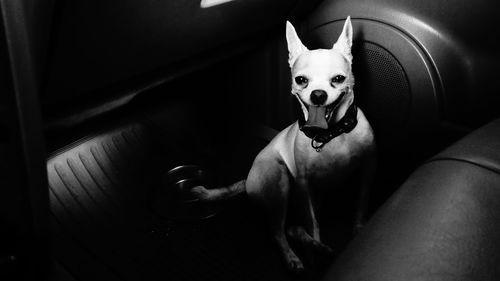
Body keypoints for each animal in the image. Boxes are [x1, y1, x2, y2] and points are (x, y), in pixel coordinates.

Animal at [191, 17, 376, 272]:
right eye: (301, 80)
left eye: (338, 79)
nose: (318, 94)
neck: (331, 135)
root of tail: (247, 180)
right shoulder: (304, 184)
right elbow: (313, 223)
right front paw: (315, 251)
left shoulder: (367, 170)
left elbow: (361, 202)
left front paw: (358, 228)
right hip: (280, 184)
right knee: (278, 232)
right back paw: (297, 255)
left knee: (293, 229)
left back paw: (316, 247)